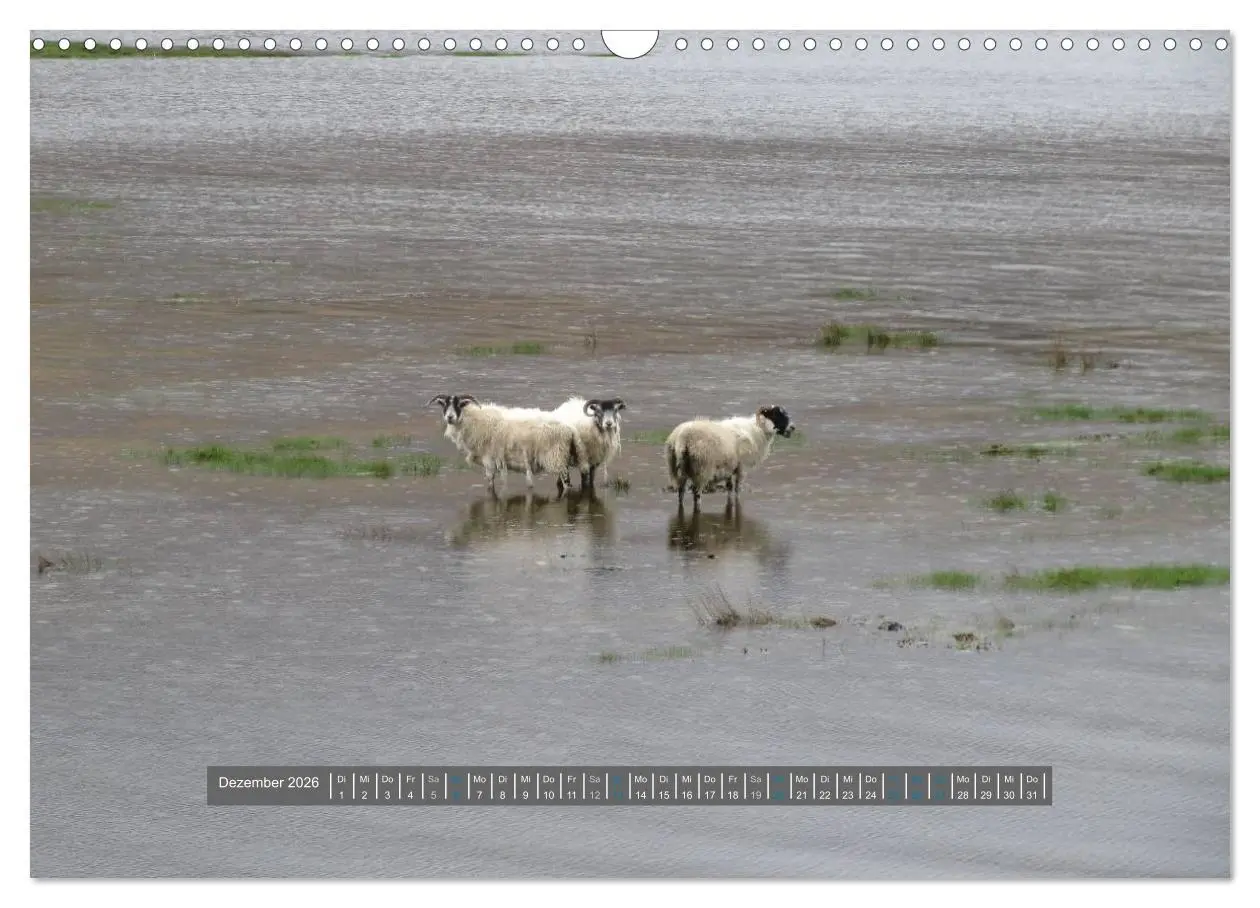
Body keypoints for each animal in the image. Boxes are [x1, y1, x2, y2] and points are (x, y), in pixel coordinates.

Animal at [429, 393, 588, 496]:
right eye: (444, 405)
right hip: (561, 458)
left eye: (459, 404)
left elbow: (490, 483)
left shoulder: (488, 460)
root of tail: (570, 428)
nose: (450, 417)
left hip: (556, 457)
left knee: (567, 483)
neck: (474, 419)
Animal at [664, 405, 795, 508]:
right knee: (696, 494)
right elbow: (737, 488)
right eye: (776, 414)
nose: (793, 427)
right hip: (702, 468)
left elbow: (729, 487)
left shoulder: (729, 466)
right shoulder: (741, 467)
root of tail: (682, 438)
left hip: (681, 468)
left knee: (681, 491)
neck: (757, 430)